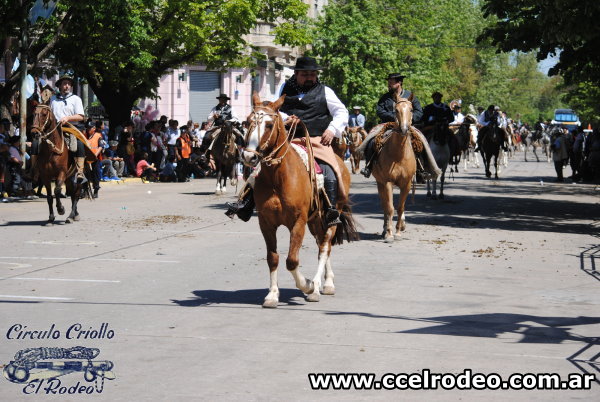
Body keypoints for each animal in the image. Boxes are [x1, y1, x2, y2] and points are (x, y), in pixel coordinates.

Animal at [241, 93, 358, 308]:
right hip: (315, 221)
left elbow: (292, 260)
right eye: (247, 121)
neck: (278, 177)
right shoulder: (266, 223)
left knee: (325, 246)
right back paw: (326, 282)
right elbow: (273, 258)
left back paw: (320, 286)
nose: (248, 157)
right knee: (323, 246)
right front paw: (272, 295)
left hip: (330, 217)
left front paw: (308, 285)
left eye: (269, 124)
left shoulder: (298, 222)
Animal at [370, 91, 418, 242]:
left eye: (411, 109)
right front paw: (390, 233)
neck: (399, 155)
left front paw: (398, 231)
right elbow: (390, 208)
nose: (403, 129)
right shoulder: (387, 182)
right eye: (396, 110)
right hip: (380, 183)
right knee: (385, 206)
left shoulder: (406, 183)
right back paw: (385, 229)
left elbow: (400, 207)